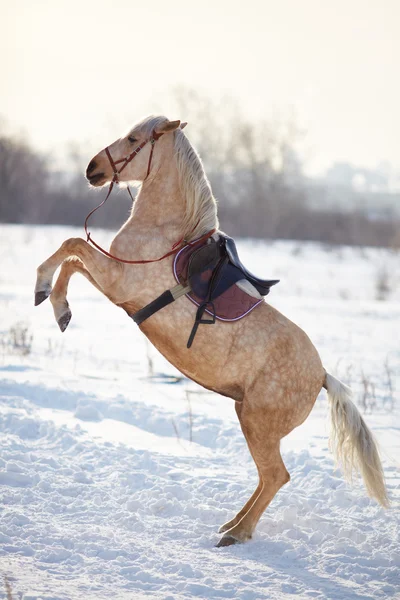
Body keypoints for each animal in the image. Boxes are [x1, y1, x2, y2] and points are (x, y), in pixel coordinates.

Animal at [33, 115, 388, 548]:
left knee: (275, 475)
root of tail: (322, 375)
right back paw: (230, 525)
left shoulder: (117, 280)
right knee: (267, 477)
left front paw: (51, 299)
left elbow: (71, 249)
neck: (166, 237)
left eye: (133, 139)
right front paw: (55, 304)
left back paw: (237, 534)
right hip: (248, 417)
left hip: (258, 423)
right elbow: (72, 257)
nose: (92, 169)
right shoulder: (112, 279)